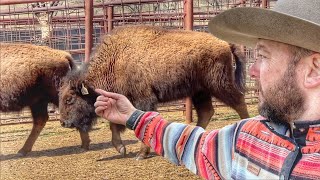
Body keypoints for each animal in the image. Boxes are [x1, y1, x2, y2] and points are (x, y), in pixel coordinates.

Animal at [59, 24, 250, 160]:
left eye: (69, 99)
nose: (63, 122)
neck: (115, 60)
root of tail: (225, 43)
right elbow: (114, 125)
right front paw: (121, 149)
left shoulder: (144, 99)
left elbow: (142, 123)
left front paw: (140, 154)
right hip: (200, 91)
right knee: (206, 112)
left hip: (219, 85)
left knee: (239, 102)